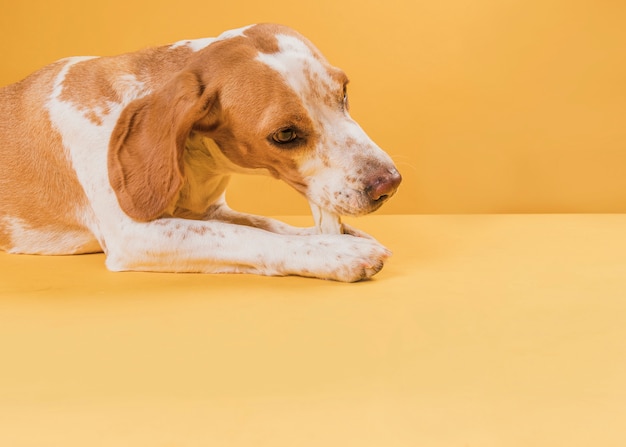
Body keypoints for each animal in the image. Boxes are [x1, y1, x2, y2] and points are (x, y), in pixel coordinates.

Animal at [0, 24, 400, 282]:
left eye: (344, 93)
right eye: (285, 134)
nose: (390, 183)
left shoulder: (210, 211)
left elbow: (269, 224)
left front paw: (333, 236)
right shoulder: (132, 235)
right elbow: (250, 237)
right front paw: (336, 252)